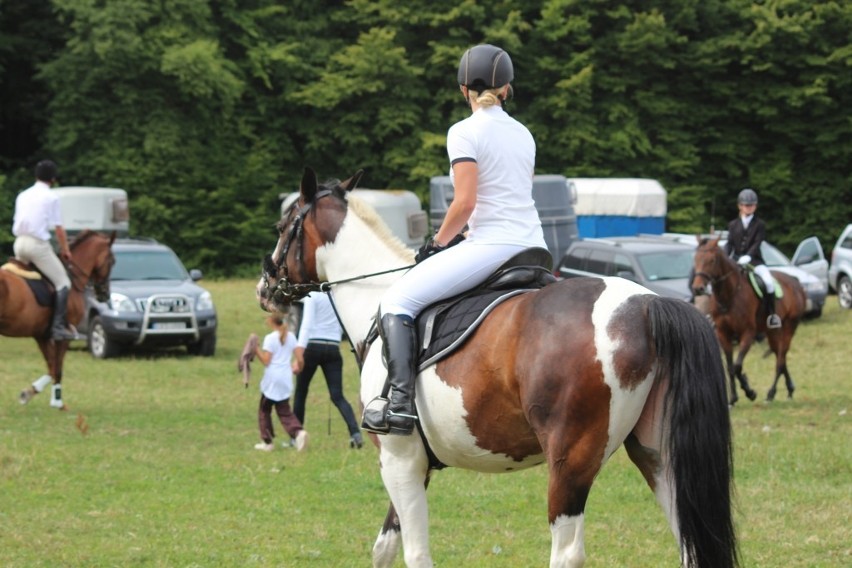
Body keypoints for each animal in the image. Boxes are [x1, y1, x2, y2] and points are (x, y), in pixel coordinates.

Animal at [2, 229, 115, 410]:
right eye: (112, 261)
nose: (104, 294)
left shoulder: (41, 335)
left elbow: (51, 367)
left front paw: (28, 393)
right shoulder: (63, 336)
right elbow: (57, 368)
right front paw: (57, 402)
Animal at [253, 170, 740, 568]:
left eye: (282, 227)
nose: (265, 287)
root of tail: (646, 304)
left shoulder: (398, 458)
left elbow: (414, 553)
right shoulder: (410, 463)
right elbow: (385, 548)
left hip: (570, 462)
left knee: (567, 552)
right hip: (658, 454)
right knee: (689, 543)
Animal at [692, 235, 804, 404]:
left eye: (712, 260)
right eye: (695, 258)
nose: (698, 289)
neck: (729, 296)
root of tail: (794, 281)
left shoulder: (748, 333)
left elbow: (737, 366)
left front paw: (749, 391)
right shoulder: (723, 334)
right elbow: (730, 367)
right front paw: (733, 398)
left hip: (789, 326)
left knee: (780, 359)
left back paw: (771, 393)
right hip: (772, 332)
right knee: (779, 355)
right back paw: (789, 389)